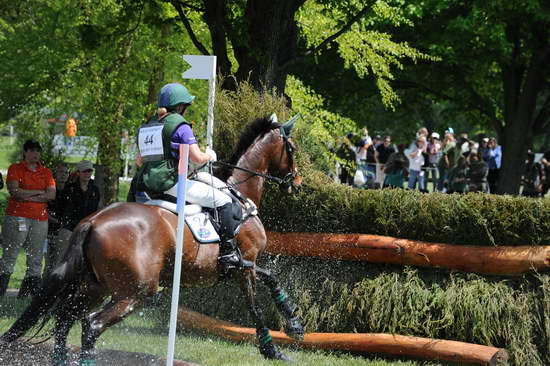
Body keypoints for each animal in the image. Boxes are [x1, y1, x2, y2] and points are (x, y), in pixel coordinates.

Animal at [0, 115, 306, 364]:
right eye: (291, 148)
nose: (297, 183)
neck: (239, 193)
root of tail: (92, 221)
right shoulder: (244, 263)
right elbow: (259, 299)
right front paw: (281, 339)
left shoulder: (239, 266)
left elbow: (268, 281)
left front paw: (288, 329)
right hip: (136, 291)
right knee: (91, 326)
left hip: (94, 287)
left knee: (65, 321)